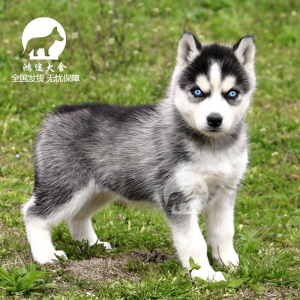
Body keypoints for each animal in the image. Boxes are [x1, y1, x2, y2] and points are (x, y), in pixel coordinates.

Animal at [22, 31, 255, 282]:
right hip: (67, 186)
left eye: (232, 94)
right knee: (33, 213)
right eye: (197, 92)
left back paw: (92, 244)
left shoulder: (225, 192)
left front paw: (230, 262)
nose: (214, 119)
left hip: (97, 190)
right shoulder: (178, 196)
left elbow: (224, 232)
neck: (213, 147)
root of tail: (54, 115)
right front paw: (205, 274)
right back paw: (46, 255)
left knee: (76, 217)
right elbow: (194, 241)